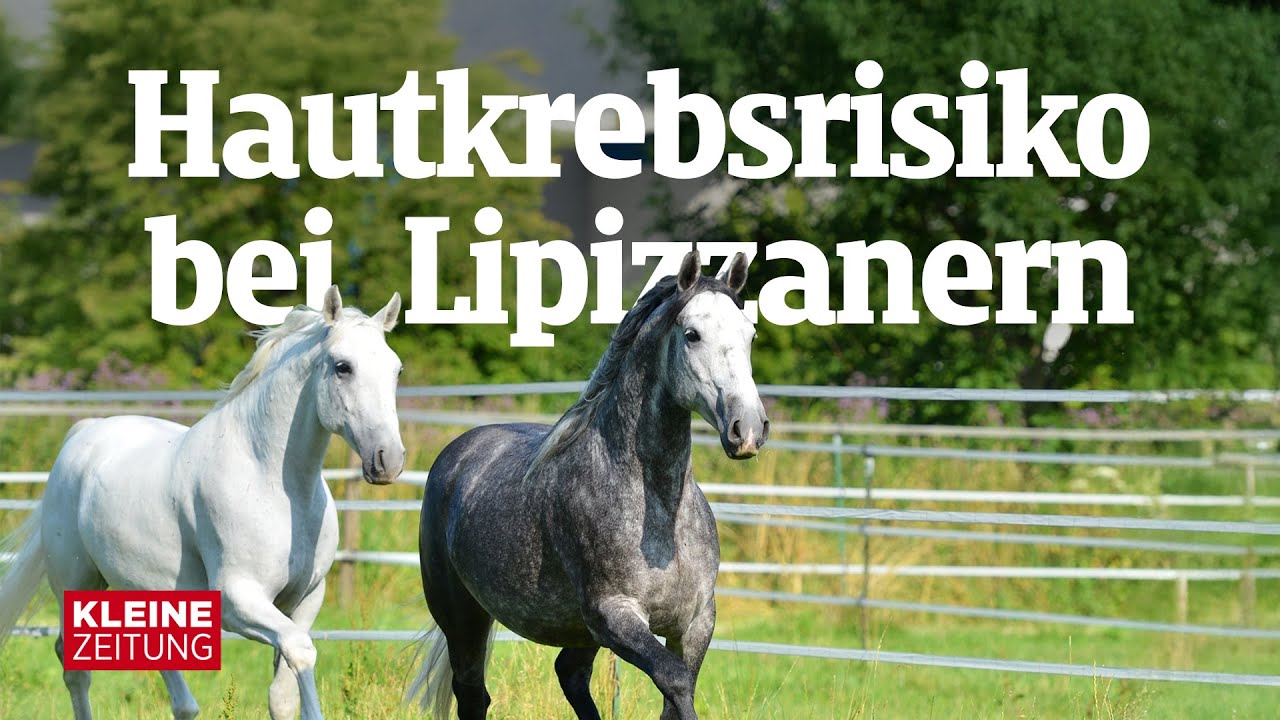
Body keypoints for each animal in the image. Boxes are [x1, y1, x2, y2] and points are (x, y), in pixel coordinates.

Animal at [0, 286, 406, 720]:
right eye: (342, 366)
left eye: (396, 370)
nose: (389, 459)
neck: (272, 484)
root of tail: (84, 432)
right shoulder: (236, 600)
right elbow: (301, 650)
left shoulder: (306, 599)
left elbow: (282, 693)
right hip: (75, 582)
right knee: (75, 667)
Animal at [408, 251, 768, 720]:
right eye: (692, 335)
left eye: (750, 333)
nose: (749, 429)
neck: (659, 515)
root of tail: (458, 452)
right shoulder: (614, 614)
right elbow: (674, 679)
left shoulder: (695, 622)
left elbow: (678, 691)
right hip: (464, 618)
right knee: (473, 695)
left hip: (576, 631)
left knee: (570, 674)